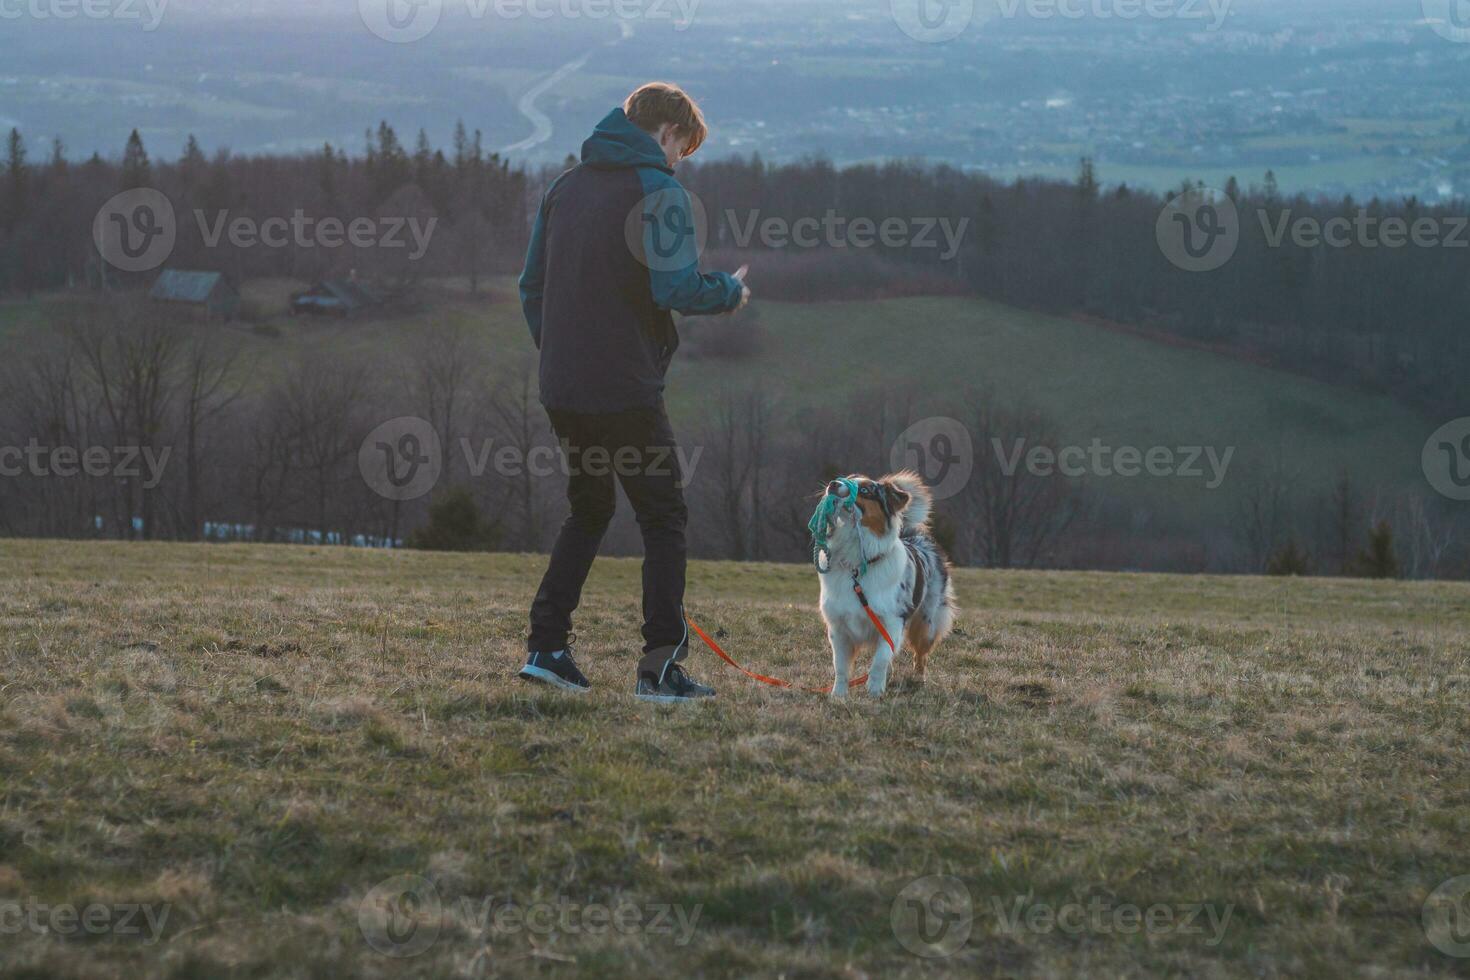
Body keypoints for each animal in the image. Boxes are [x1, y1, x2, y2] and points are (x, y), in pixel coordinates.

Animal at [817, 473, 952, 696]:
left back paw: (918, 679)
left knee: (921, 655)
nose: (833, 484)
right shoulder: (838, 627)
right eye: (846, 478)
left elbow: (880, 660)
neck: (857, 565)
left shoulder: (892, 622)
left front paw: (874, 691)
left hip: (927, 624)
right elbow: (841, 666)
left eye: (865, 490)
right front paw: (838, 695)